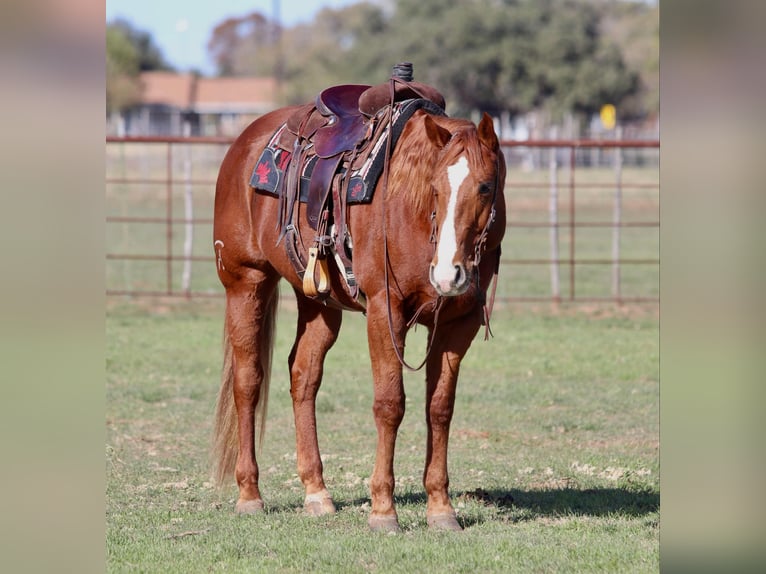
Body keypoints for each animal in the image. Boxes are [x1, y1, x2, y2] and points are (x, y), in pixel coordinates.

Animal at [211, 76, 506, 532]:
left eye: (485, 187)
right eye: (435, 188)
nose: (448, 274)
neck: (410, 209)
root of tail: (244, 143)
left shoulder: (460, 323)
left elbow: (439, 408)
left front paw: (441, 508)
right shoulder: (386, 312)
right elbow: (389, 404)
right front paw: (383, 510)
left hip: (319, 302)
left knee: (303, 376)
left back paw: (316, 492)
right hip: (246, 282)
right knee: (248, 381)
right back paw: (250, 494)